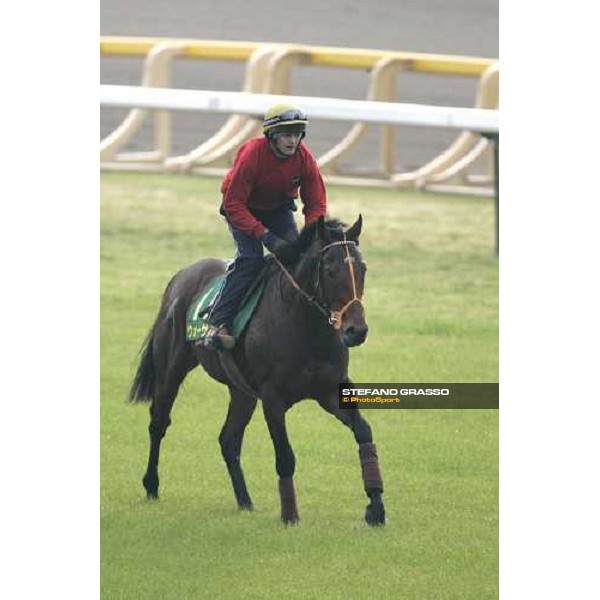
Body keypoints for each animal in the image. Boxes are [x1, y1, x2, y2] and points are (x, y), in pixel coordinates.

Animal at [129, 214, 386, 524]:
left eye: (362, 267)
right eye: (330, 270)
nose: (356, 330)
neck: (306, 326)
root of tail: (180, 276)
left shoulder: (330, 390)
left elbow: (364, 433)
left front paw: (376, 507)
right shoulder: (272, 397)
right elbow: (285, 456)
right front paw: (290, 515)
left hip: (242, 392)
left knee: (228, 439)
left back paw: (245, 501)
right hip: (171, 368)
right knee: (158, 422)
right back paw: (151, 485)